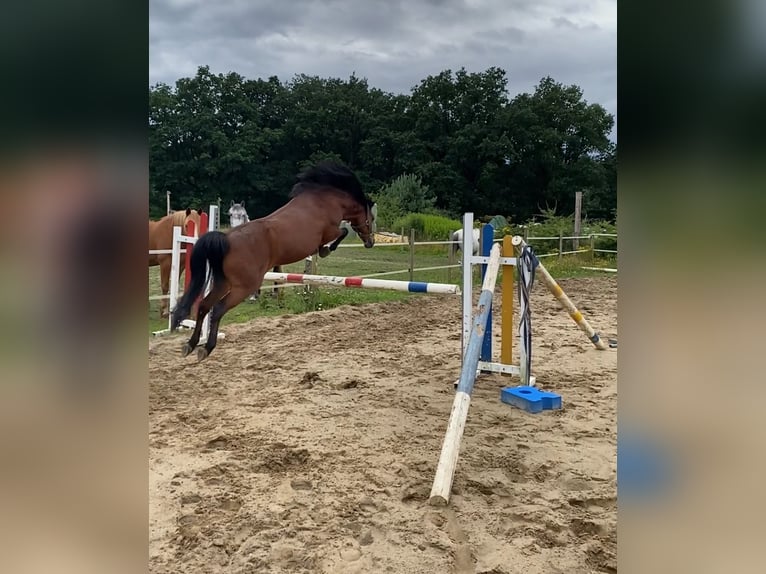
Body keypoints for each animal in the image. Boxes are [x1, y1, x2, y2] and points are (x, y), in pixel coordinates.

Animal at [172, 161, 380, 360]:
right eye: (371, 217)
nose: (371, 242)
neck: (327, 201)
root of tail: (226, 239)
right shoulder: (330, 231)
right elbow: (341, 232)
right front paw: (326, 250)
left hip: (224, 283)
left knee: (204, 306)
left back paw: (190, 345)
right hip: (243, 287)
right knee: (217, 309)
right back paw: (206, 348)